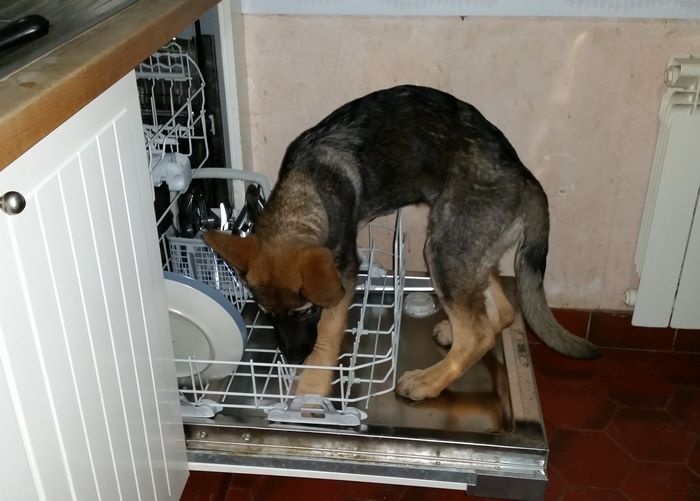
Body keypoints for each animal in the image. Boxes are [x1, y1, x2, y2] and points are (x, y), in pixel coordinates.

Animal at [204, 85, 599, 401]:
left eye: (305, 311)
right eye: (266, 313)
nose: (293, 357)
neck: (307, 189)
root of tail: (524, 175)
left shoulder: (343, 272)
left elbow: (328, 333)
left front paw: (312, 387)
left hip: (442, 247)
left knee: (478, 335)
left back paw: (427, 382)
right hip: (463, 248)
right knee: (498, 313)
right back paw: (453, 332)